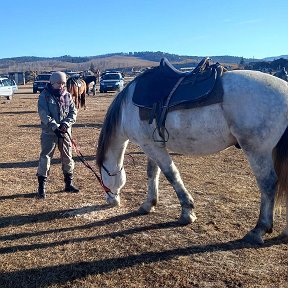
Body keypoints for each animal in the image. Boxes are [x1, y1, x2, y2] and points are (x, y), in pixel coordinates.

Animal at [96, 58, 288, 245]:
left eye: (103, 178)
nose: (111, 200)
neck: (126, 109)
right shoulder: (152, 145)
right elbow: (153, 173)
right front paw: (148, 204)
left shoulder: (150, 146)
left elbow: (171, 174)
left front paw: (187, 212)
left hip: (256, 150)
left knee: (267, 184)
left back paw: (259, 230)